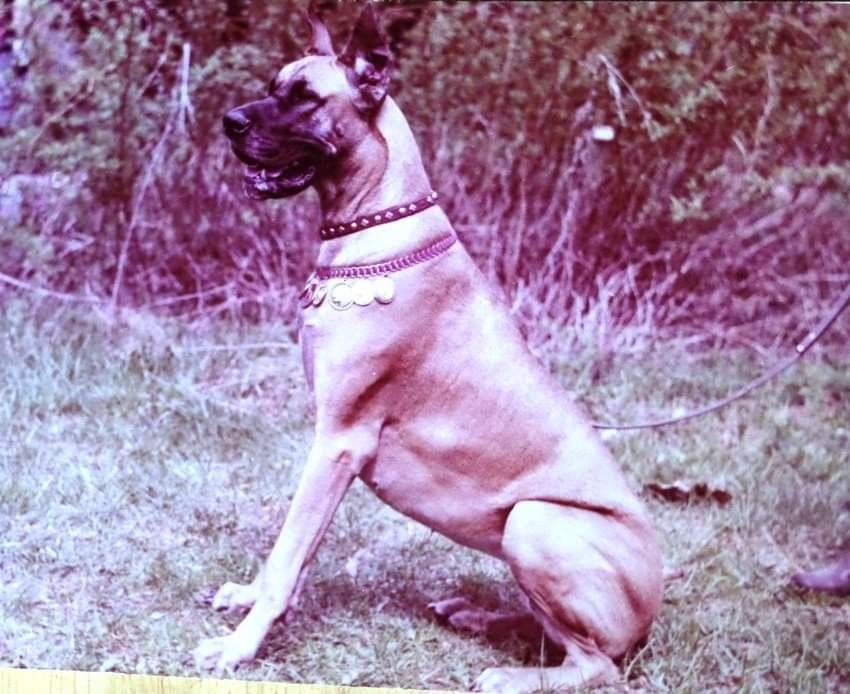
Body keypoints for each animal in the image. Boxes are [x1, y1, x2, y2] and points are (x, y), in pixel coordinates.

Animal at [195, 6, 663, 691]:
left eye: (305, 98)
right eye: (274, 84)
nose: (229, 122)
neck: (377, 226)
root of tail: (654, 607)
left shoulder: (337, 441)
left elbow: (288, 553)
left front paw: (240, 647)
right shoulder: (333, 449)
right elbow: (296, 553)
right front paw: (251, 603)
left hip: (535, 521)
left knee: (595, 666)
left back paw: (509, 675)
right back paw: (476, 616)